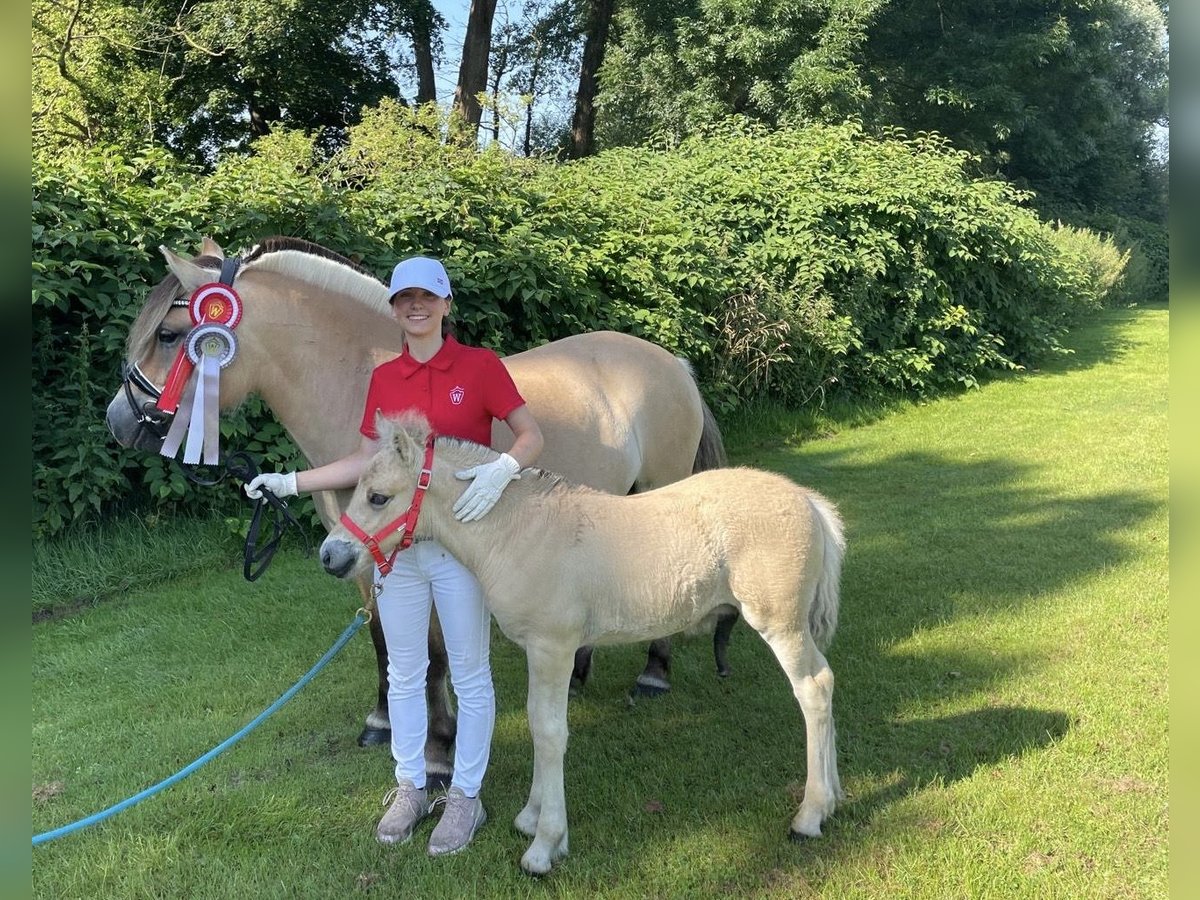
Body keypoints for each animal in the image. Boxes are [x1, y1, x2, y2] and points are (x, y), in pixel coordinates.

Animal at [105, 237, 720, 782]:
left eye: (168, 335)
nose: (119, 420)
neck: (357, 386)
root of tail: (673, 364)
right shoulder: (356, 552)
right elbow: (382, 639)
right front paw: (381, 722)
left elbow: (435, 654)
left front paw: (440, 749)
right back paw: (582, 671)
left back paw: (655, 674)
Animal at [319, 415, 844, 873]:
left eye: (378, 497)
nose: (330, 556)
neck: (517, 532)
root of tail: (809, 502)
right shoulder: (539, 651)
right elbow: (537, 723)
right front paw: (530, 819)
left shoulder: (553, 648)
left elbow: (550, 732)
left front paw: (544, 845)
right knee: (826, 680)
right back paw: (834, 798)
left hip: (781, 625)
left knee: (813, 688)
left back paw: (810, 815)